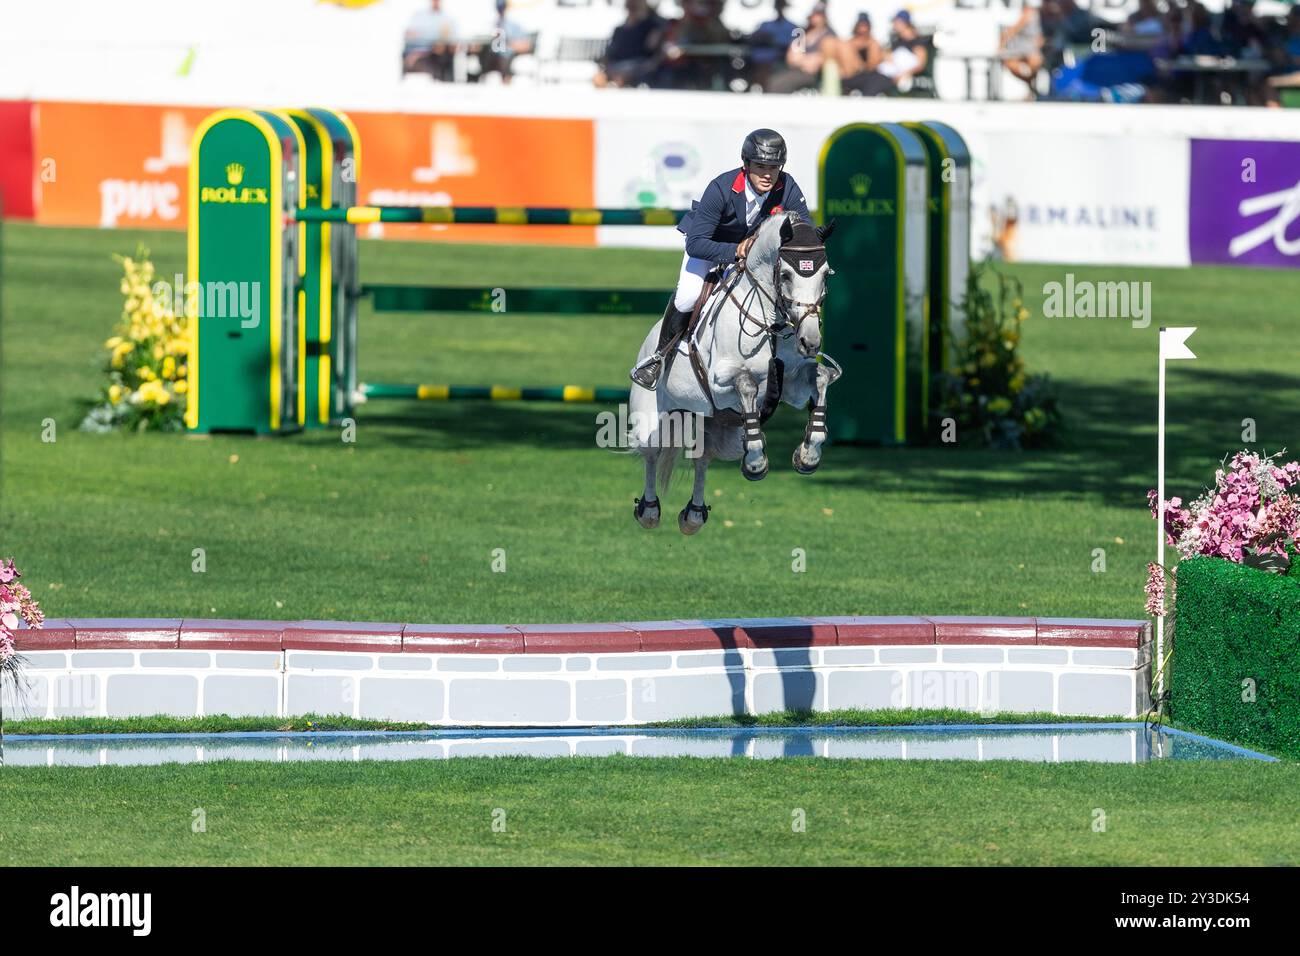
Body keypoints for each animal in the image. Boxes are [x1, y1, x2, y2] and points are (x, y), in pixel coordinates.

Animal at [629, 210, 842, 535]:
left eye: (826, 274)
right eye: (786, 275)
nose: (810, 342)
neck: (771, 319)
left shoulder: (792, 386)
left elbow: (819, 377)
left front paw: (808, 456)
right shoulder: (720, 384)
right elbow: (746, 384)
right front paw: (756, 463)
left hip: (718, 429)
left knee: (702, 458)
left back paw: (693, 515)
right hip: (653, 417)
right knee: (652, 453)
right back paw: (649, 511)